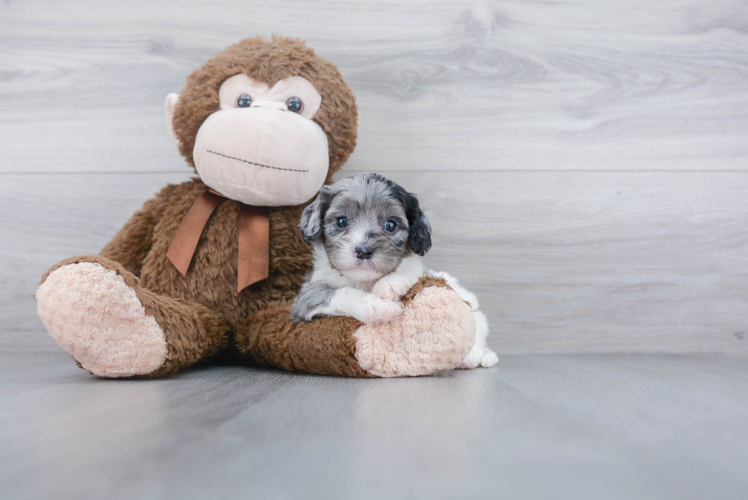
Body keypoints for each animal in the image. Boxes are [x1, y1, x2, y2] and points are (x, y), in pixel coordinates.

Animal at [290, 174, 496, 370]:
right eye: (341, 221)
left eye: (390, 225)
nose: (363, 251)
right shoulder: (305, 298)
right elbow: (338, 292)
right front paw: (375, 305)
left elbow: (411, 265)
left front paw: (390, 284)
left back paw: (473, 357)